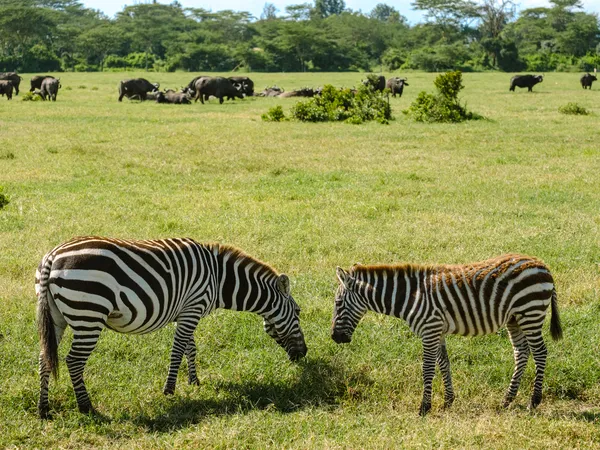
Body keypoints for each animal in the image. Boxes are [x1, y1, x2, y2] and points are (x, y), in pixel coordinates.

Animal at [35, 236, 308, 418]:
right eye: (298, 312)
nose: (304, 354)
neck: (219, 279)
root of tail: (53, 256)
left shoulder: (186, 311)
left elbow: (190, 348)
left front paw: (194, 381)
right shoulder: (193, 308)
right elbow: (178, 350)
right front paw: (169, 390)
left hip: (57, 318)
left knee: (45, 357)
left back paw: (43, 408)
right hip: (89, 315)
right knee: (74, 361)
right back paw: (86, 407)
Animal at [332, 253, 564, 414]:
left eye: (337, 303)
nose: (335, 337)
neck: (410, 296)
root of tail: (542, 265)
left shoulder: (430, 329)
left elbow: (427, 368)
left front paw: (424, 407)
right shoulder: (438, 330)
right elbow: (444, 363)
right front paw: (448, 401)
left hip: (530, 312)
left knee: (540, 352)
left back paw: (534, 401)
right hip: (515, 319)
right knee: (522, 353)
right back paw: (507, 399)